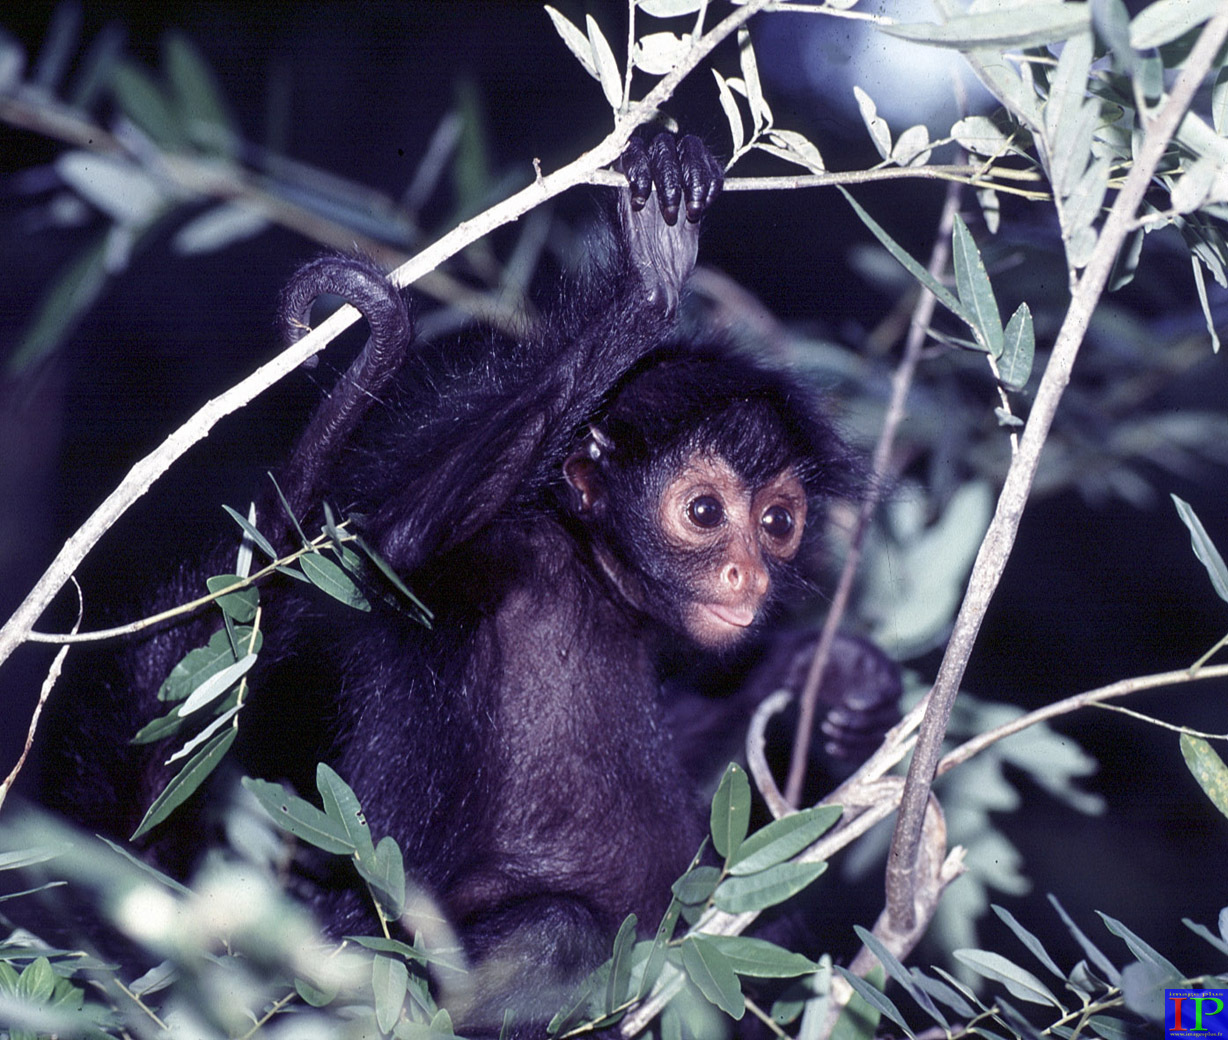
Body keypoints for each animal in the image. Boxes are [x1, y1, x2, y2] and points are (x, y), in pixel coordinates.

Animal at [35, 132, 900, 1038]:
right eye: (704, 511)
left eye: (778, 523)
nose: (749, 571)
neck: (592, 578)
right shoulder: (501, 551)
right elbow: (398, 542)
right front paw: (651, 281)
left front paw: (833, 677)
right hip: (374, 958)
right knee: (556, 929)